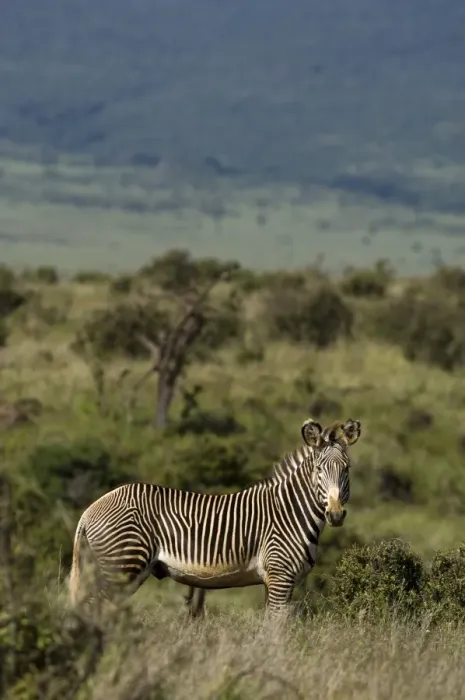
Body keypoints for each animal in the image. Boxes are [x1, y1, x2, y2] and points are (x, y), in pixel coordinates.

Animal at [68, 417, 361, 615]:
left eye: (346, 469)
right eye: (319, 469)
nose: (336, 514)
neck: (292, 511)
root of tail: (90, 510)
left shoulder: (275, 580)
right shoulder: (280, 575)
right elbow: (276, 631)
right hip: (122, 565)